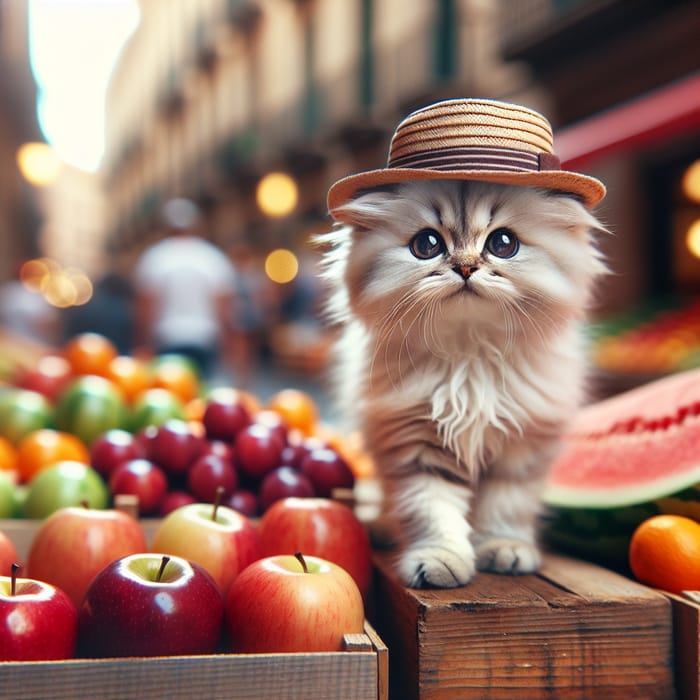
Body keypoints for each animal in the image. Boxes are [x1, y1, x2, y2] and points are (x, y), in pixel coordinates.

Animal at [318, 182, 608, 592]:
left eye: (503, 243)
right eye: (427, 245)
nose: (466, 267)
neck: (469, 356)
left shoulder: (521, 445)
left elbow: (506, 505)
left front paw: (505, 548)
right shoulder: (416, 445)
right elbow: (432, 511)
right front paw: (439, 559)